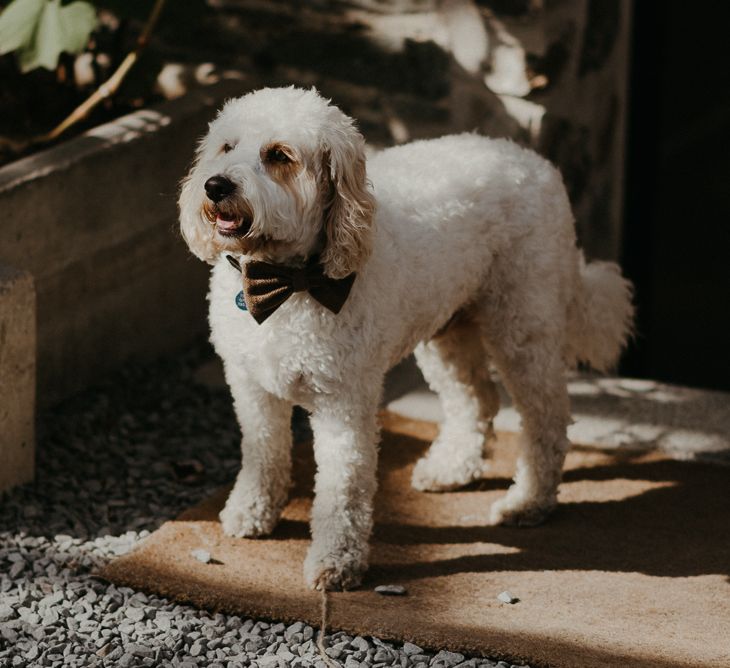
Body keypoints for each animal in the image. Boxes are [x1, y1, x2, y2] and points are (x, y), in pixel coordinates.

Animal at [178, 87, 632, 588]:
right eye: (227, 147)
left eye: (279, 155)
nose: (215, 186)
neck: (287, 283)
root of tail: (535, 162)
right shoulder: (251, 388)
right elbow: (263, 453)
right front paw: (251, 512)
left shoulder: (344, 402)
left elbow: (343, 487)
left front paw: (337, 561)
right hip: (448, 330)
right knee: (476, 399)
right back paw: (453, 468)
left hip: (522, 326)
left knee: (546, 418)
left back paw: (529, 501)